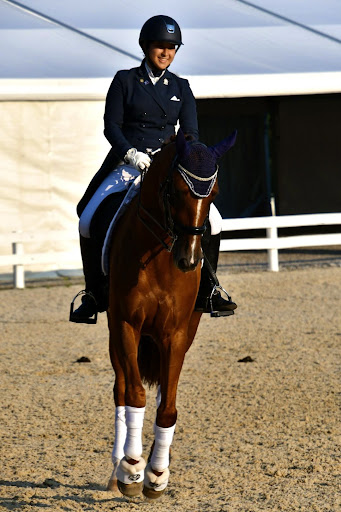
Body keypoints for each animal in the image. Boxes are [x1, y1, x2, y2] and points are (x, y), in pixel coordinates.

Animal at [107, 128, 236, 500]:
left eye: (214, 194)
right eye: (176, 191)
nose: (189, 261)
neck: (160, 254)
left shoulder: (176, 334)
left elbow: (167, 405)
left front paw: (156, 474)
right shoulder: (126, 325)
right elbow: (134, 395)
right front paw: (131, 468)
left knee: (162, 390)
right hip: (114, 332)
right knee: (121, 389)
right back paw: (118, 468)